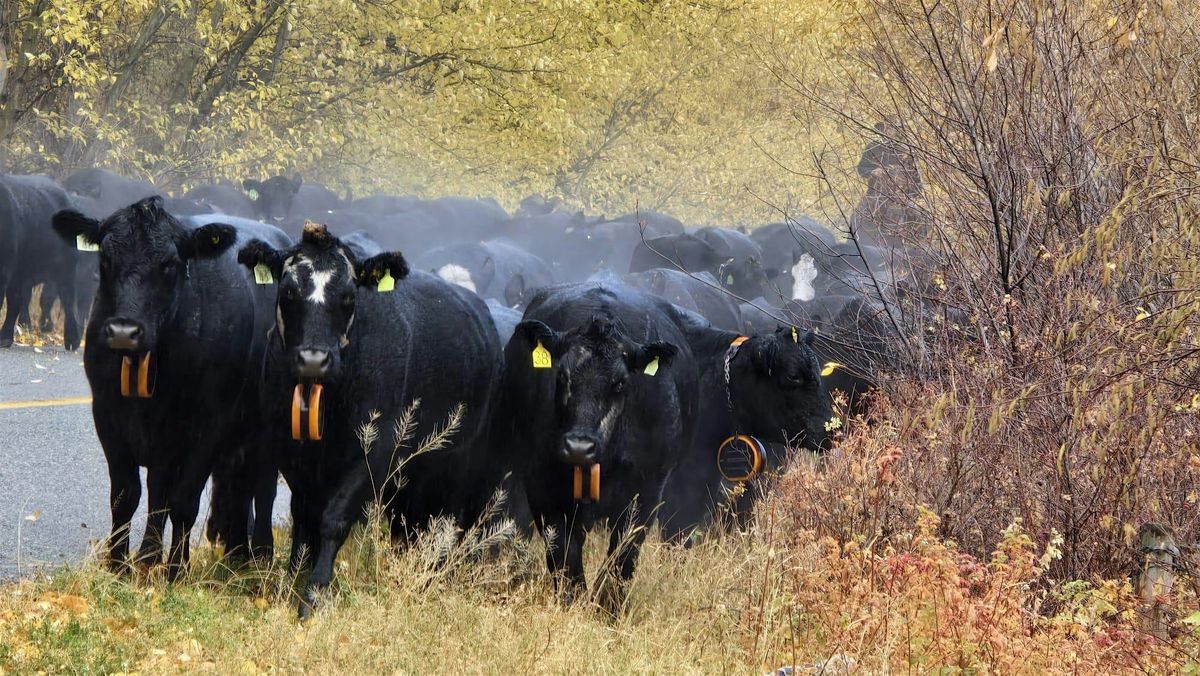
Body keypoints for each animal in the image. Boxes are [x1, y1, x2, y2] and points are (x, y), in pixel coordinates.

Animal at [50, 194, 284, 576]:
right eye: (105, 258)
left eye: (170, 263)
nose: (124, 331)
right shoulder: (108, 415)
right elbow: (127, 494)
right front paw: (120, 564)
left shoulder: (208, 425)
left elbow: (184, 500)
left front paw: (176, 568)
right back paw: (225, 553)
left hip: (267, 429)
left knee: (261, 488)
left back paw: (259, 556)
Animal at [234, 222, 501, 619]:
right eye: (288, 291)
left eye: (348, 296)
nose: (313, 359)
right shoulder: (290, 452)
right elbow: (303, 515)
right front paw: (294, 575)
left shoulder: (374, 453)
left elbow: (333, 519)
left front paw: (314, 594)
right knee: (407, 522)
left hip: (459, 463)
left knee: (446, 521)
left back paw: (433, 575)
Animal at [496, 283, 700, 609]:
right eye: (562, 375)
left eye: (620, 383)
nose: (579, 446)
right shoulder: (541, 488)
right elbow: (564, 554)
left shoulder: (646, 492)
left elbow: (623, 557)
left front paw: (608, 606)